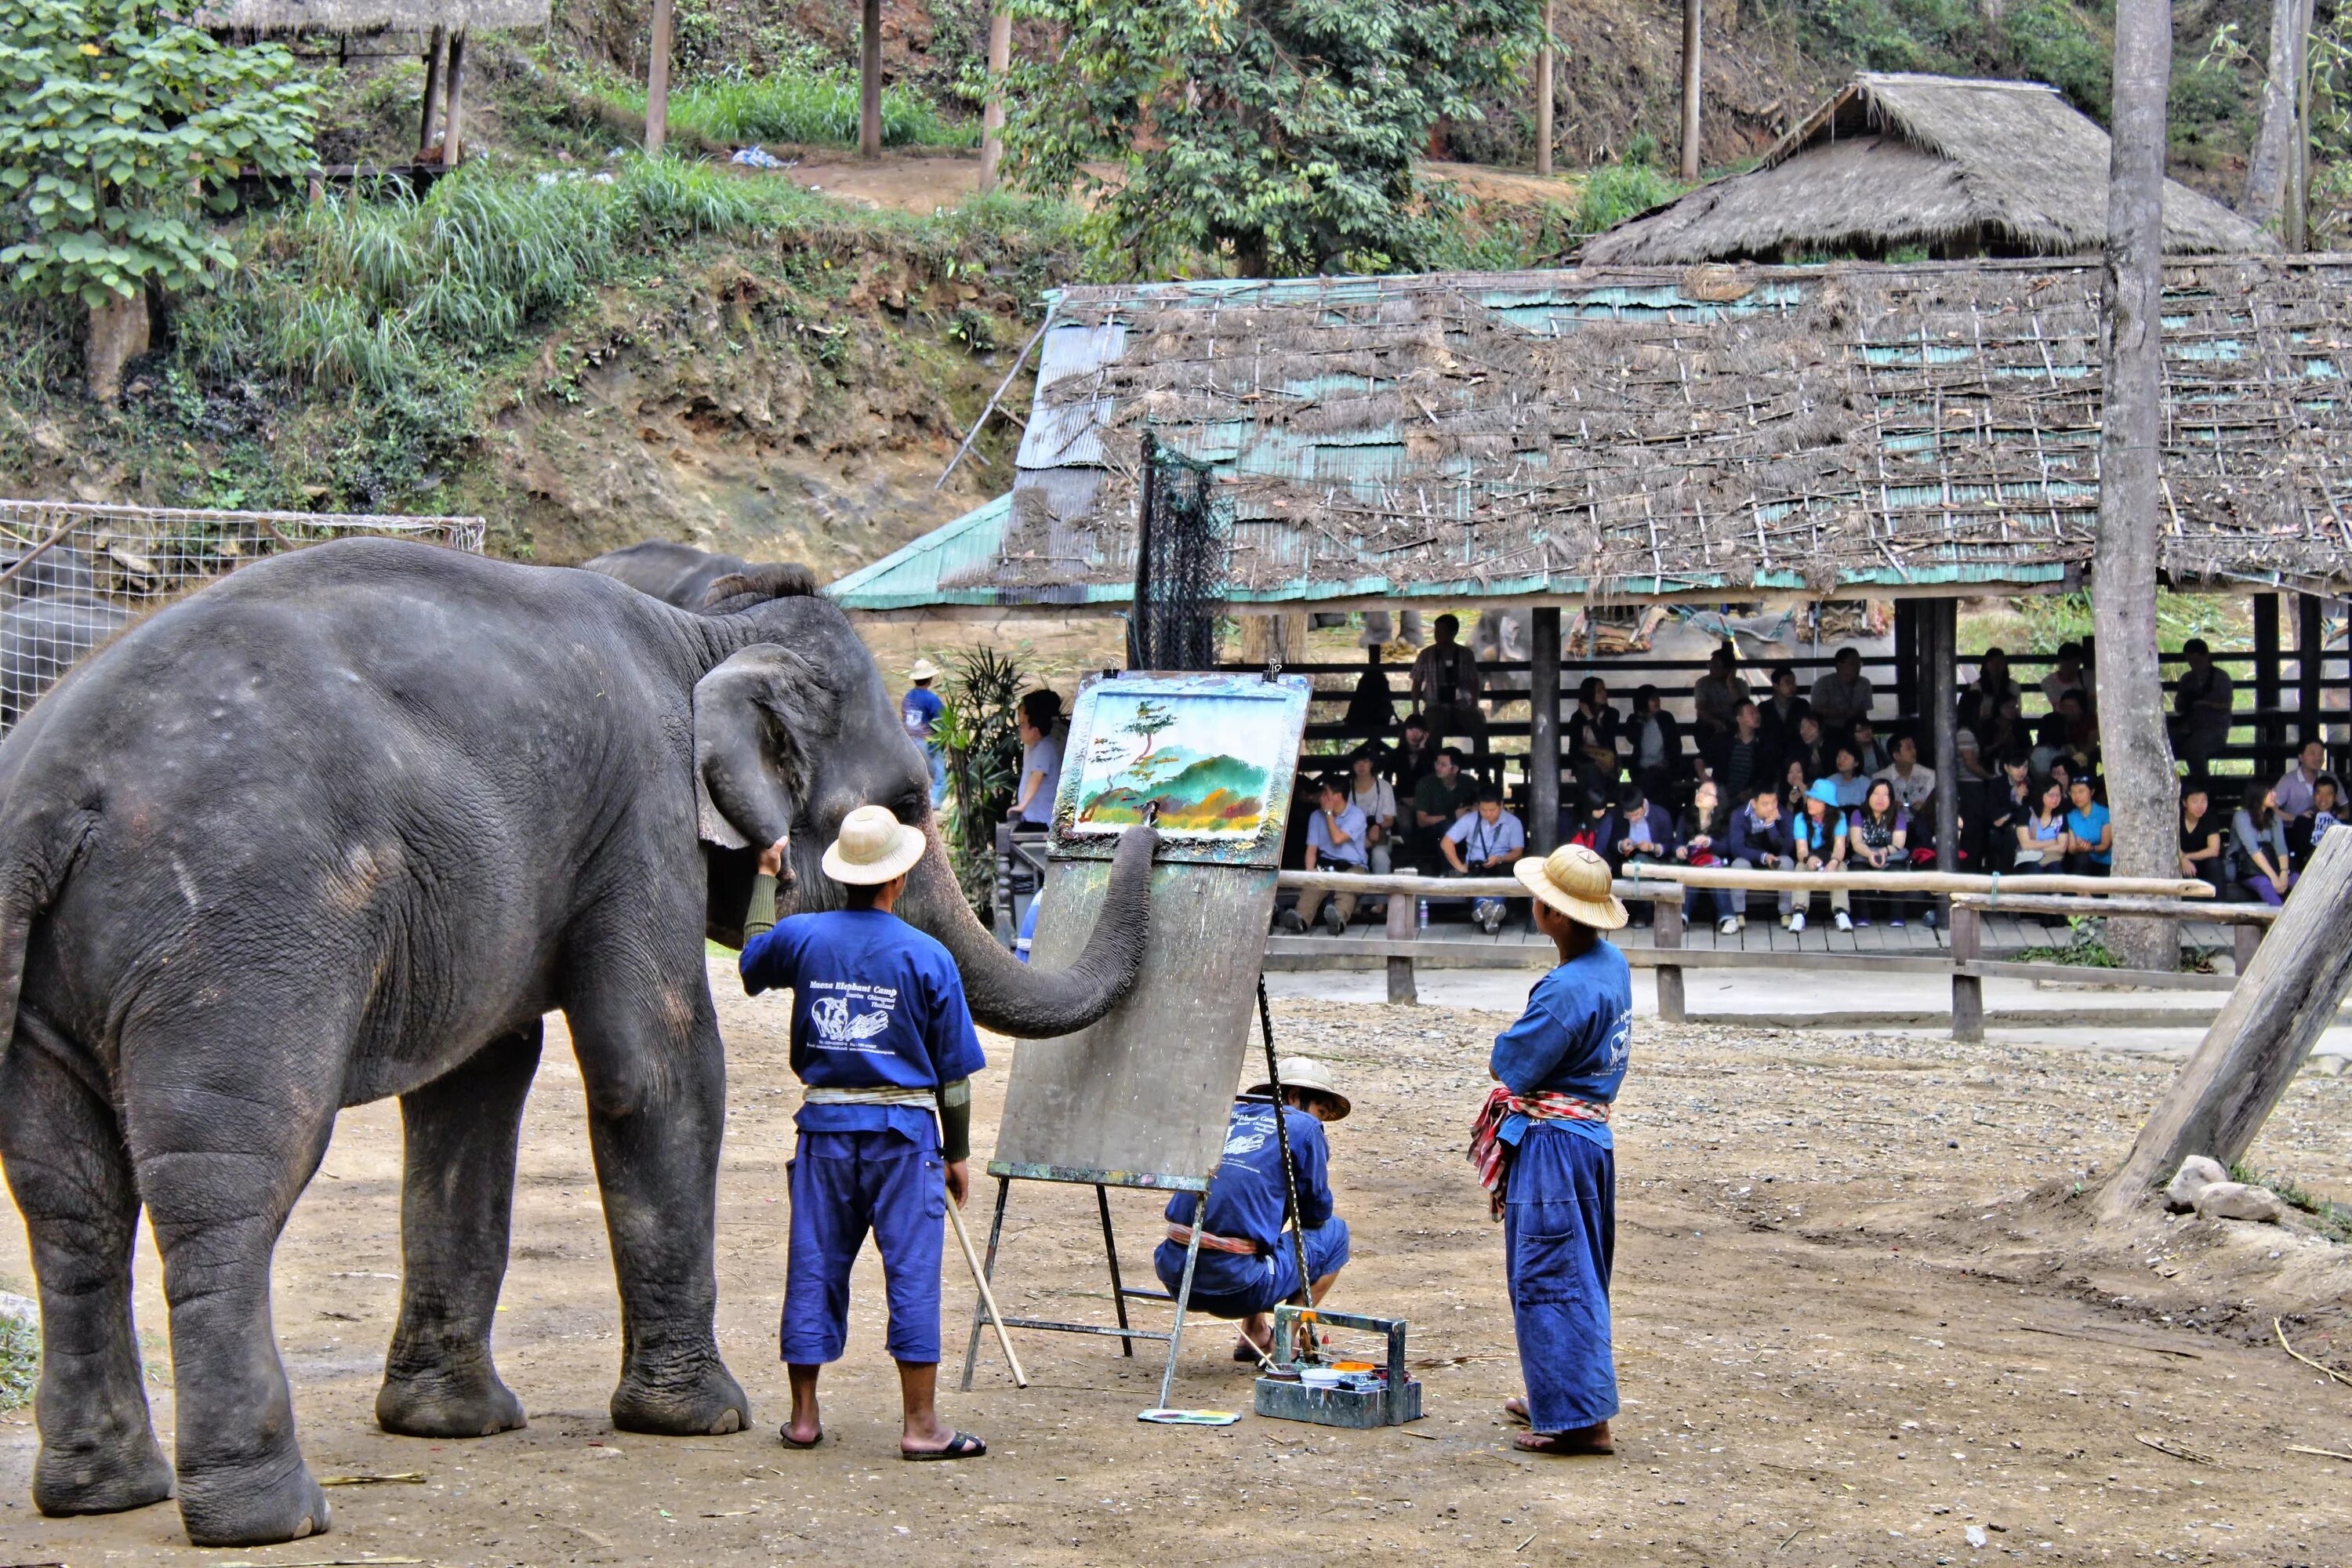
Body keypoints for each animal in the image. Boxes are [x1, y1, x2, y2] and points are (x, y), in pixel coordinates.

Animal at [0, 540, 1157, 1542]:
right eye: (911, 800)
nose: (1141, 823)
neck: (698, 618)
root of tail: (49, 791)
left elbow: (479, 1082)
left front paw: (453, 1424)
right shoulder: (642, 812)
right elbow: (661, 1065)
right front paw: (705, 1418)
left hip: (53, 975)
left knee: (66, 1196)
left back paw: (104, 1493)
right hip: (240, 935)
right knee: (229, 1182)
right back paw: (269, 1516)